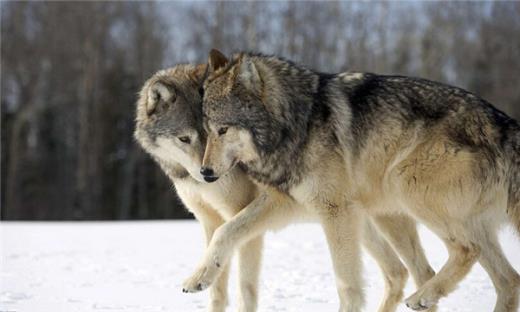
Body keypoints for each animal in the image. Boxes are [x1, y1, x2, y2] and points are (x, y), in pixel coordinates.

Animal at [135, 64, 438, 312]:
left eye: (217, 132)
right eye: (185, 138)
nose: (208, 174)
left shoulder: (251, 216)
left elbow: (243, 282)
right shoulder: (209, 220)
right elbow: (217, 290)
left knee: (417, 272)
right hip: (359, 223)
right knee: (399, 272)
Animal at [187, 49, 520, 312]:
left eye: (223, 130)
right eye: (207, 130)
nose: (205, 173)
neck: (298, 123)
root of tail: (503, 124)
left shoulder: (335, 211)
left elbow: (346, 284)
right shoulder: (286, 202)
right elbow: (226, 231)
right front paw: (198, 277)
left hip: (404, 185)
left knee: (465, 251)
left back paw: (422, 297)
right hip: (393, 214)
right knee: (505, 281)